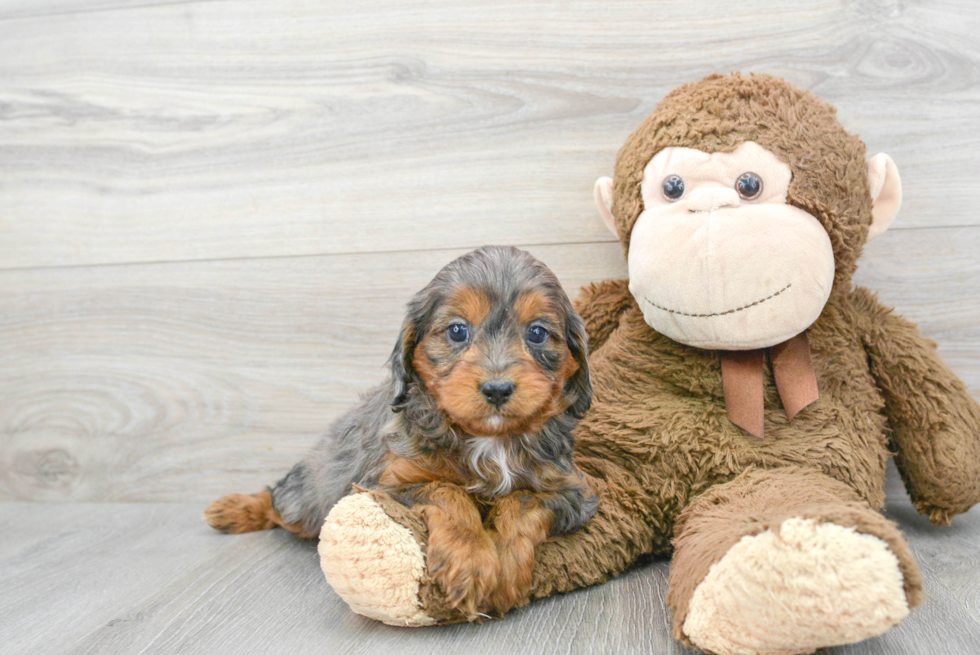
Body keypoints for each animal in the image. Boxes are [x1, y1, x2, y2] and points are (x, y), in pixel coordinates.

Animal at [207, 246, 596, 620]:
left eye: (537, 333)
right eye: (457, 331)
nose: (497, 389)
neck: (488, 439)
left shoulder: (573, 493)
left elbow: (523, 501)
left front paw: (507, 563)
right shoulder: (388, 483)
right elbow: (447, 491)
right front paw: (470, 562)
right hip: (308, 501)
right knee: (277, 501)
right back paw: (234, 508)